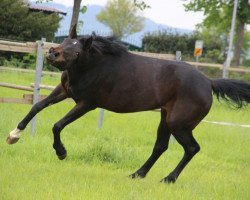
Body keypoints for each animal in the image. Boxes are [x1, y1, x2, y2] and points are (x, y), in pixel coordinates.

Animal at [6, 25, 250, 183]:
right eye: (65, 41)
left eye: (76, 49)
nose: (52, 53)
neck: (93, 64)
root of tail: (209, 82)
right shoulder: (64, 91)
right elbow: (36, 107)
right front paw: (13, 135)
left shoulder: (87, 103)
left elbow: (57, 125)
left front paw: (61, 153)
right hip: (165, 117)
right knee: (160, 146)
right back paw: (137, 174)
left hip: (178, 123)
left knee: (192, 148)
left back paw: (168, 179)